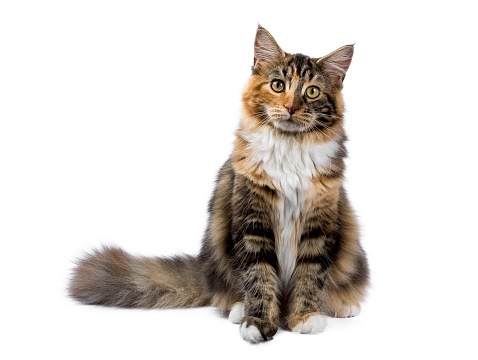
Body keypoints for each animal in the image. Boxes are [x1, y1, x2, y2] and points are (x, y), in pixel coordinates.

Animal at [69, 26, 370, 344]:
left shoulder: (318, 225)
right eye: (278, 86)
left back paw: (343, 305)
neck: (289, 146)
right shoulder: (252, 220)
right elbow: (259, 276)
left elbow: (310, 276)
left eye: (312, 92)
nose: (290, 107)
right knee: (226, 292)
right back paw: (239, 308)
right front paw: (258, 321)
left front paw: (304, 317)